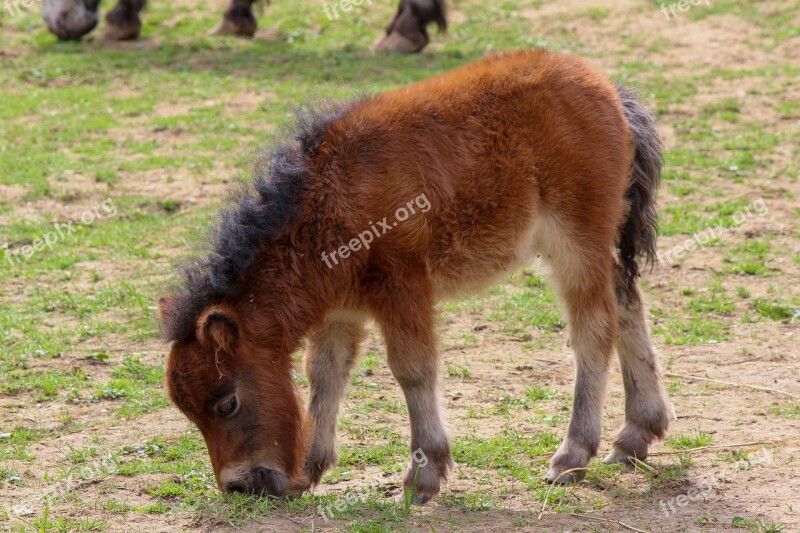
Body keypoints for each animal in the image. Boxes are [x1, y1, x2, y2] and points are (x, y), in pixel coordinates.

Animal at [162, 47, 676, 500]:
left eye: (226, 401)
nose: (239, 486)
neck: (330, 196)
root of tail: (610, 91)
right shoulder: (340, 311)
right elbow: (324, 375)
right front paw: (309, 470)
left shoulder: (402, 288)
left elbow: (412, 369)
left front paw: (423, 478)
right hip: (594, 248)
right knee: (627, 304)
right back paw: (634, 437)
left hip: (575, 246)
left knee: (595, 329)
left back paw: (571, 457)